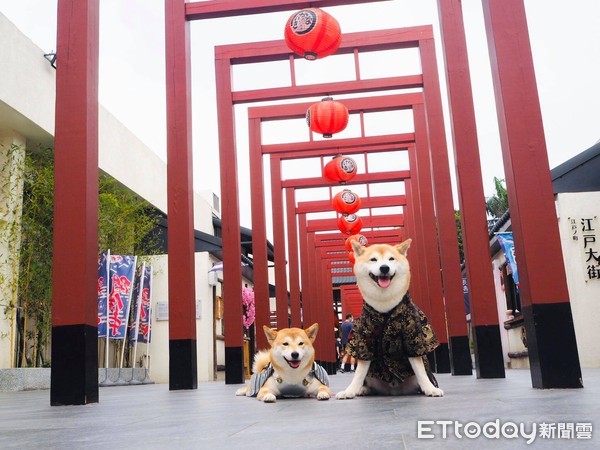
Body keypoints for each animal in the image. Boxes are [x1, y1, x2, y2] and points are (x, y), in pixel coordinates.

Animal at [336, 241, 442, 400]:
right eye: (373, 260)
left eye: (391, 259)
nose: (384, 268)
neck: (384, 305)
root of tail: (393, 391)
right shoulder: (365, 340)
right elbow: (359, 372)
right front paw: (350, 390)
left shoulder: (412, 337)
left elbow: (420, 369)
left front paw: (430, 389)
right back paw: (363, 389)